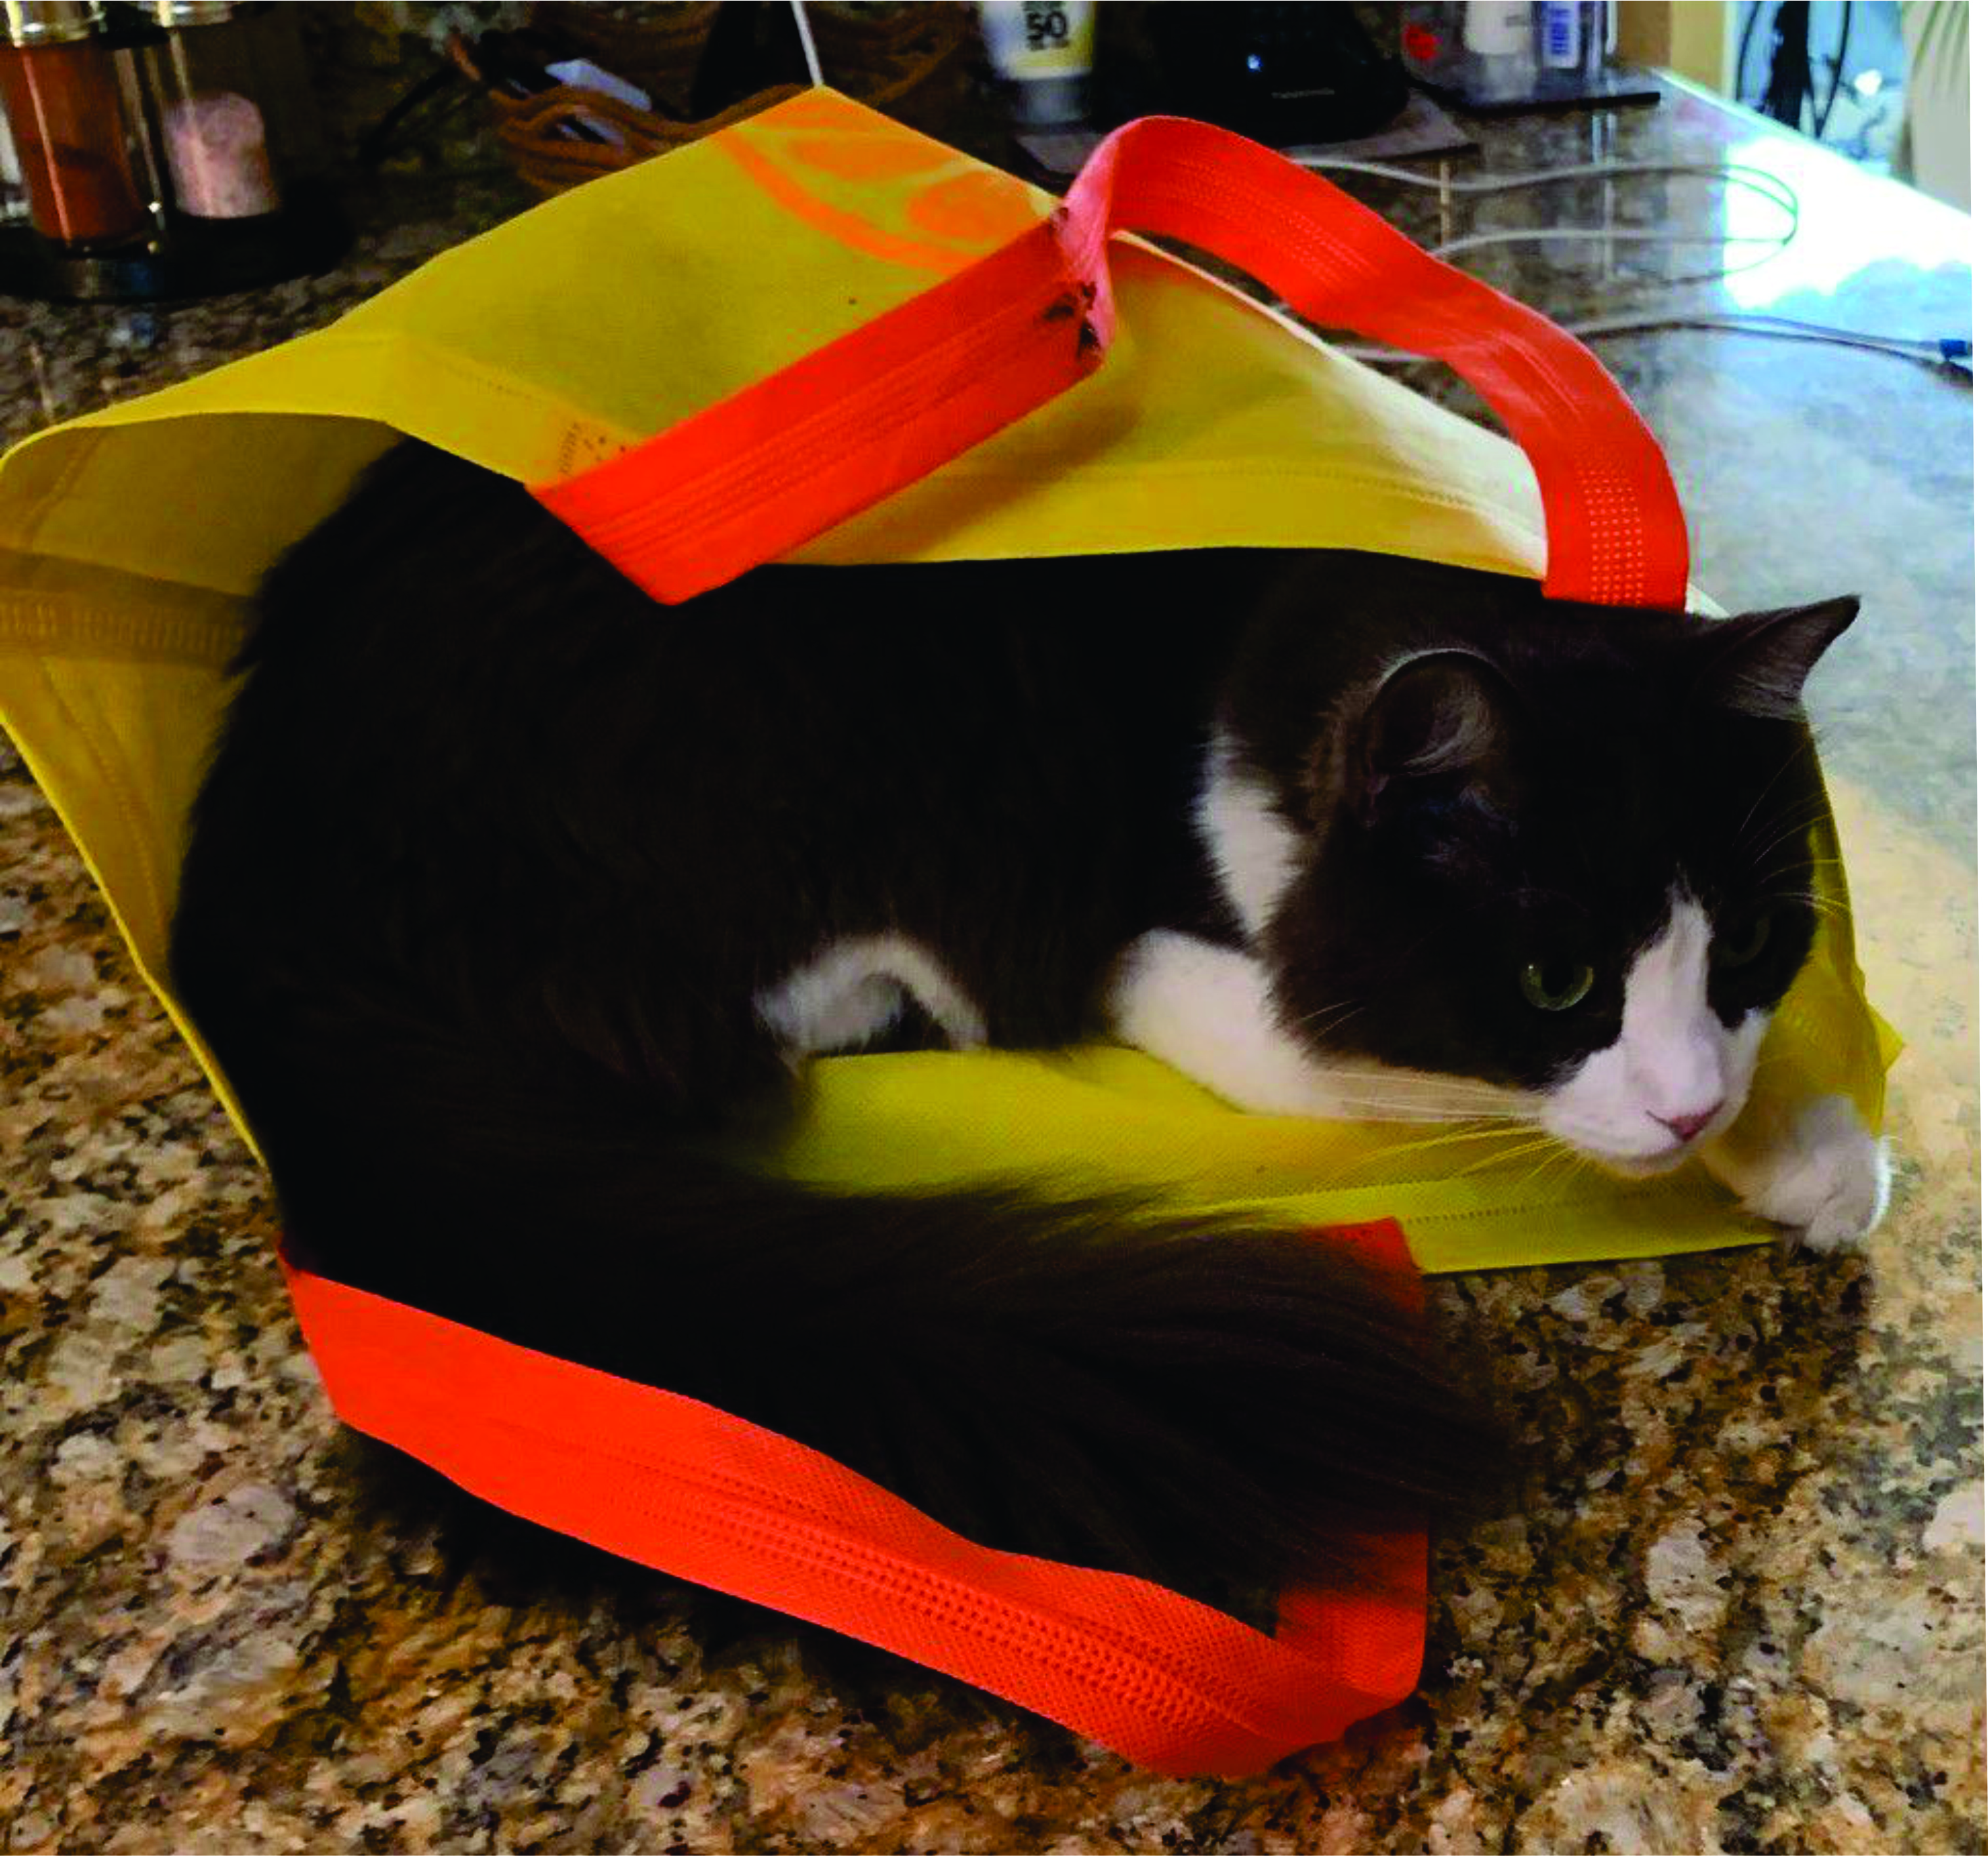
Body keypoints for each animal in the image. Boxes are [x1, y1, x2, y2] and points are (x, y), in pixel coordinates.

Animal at [167, 442, 1876, 1599]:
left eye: (1749, 946)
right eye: (1555, 982)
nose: (1687, 1101)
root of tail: (251, 867)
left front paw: (1802, 1144)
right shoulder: (1181, 954)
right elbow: (1382, 1074)